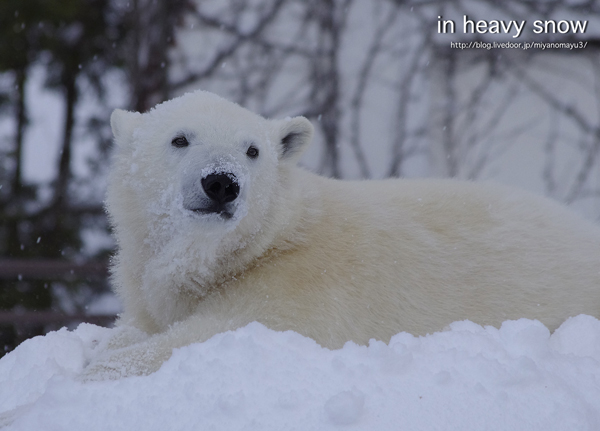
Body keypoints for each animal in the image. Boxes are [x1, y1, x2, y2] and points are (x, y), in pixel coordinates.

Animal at [86, 90, 596, 378]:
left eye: (252, 150)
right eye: (180, 138)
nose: (222, 183)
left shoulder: (298, 287)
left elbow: (219, 331)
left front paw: (99, 367)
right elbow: (145, 323)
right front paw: (105, 345)